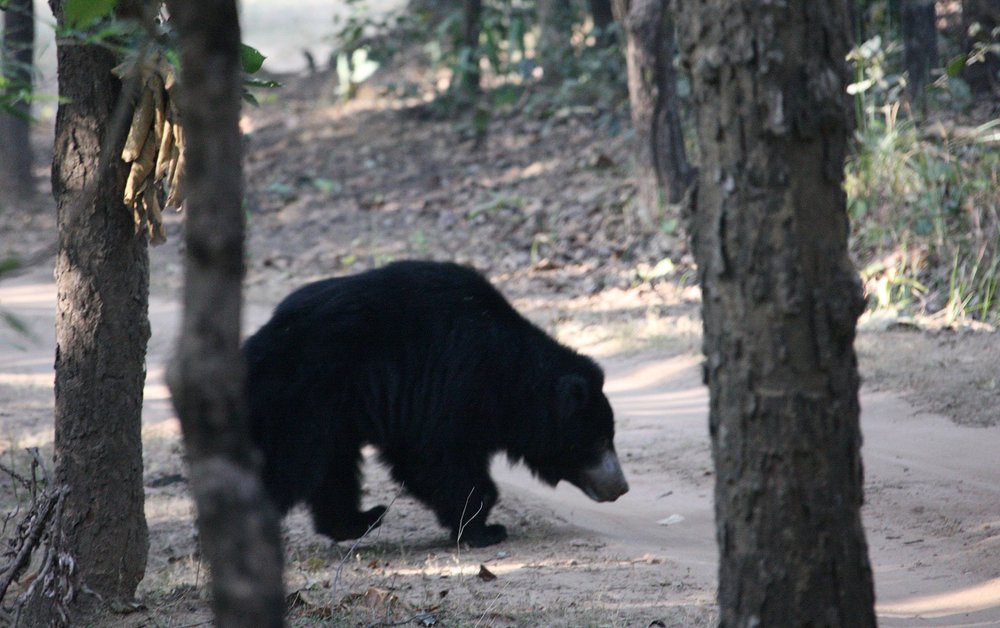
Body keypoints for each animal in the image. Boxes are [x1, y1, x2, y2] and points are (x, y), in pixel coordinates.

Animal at [244, 260, 628, 547]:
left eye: (610, 437)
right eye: (598, 440)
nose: (621, 486)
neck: (511, 378)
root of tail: (257, 346)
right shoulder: (451, 381)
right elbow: (435, 455)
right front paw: (484, 529)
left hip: (331, 411)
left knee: (332, 467)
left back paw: (362, 519)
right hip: (305, 395)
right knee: (287, 463)